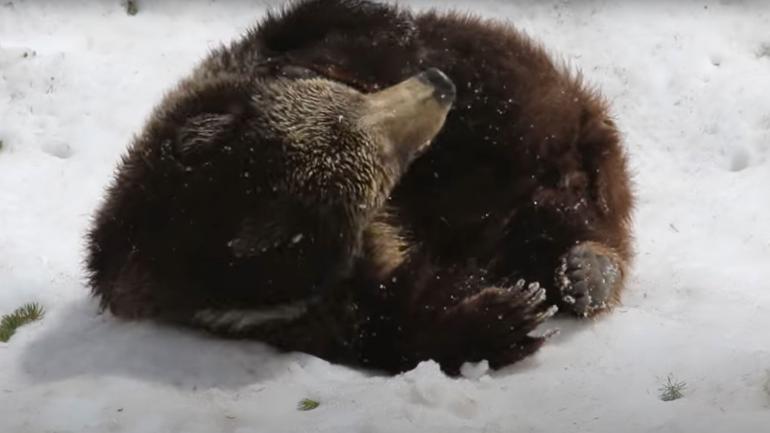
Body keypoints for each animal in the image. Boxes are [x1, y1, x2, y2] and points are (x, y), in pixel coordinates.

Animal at [87, 0, 632, 374]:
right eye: (381, 166)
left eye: (349, 100)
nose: (438, 86)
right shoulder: (304, 311)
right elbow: (395, 321)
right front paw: (508, 312)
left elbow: (354, 28)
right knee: (543, 223)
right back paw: (576, 271)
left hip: (534, 108)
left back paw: (586, 268)